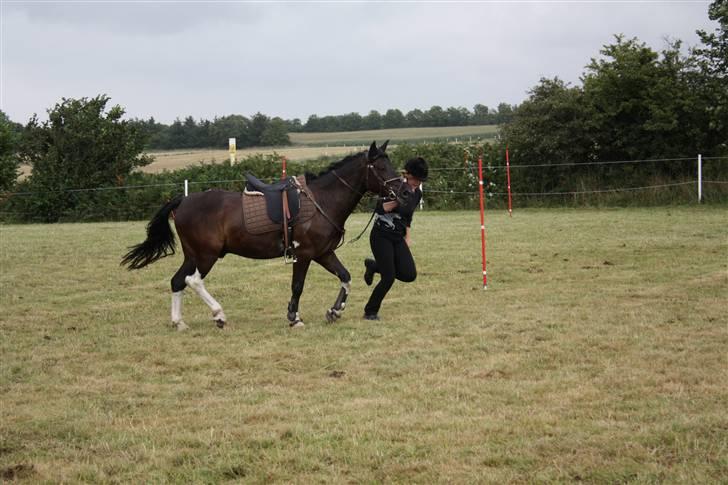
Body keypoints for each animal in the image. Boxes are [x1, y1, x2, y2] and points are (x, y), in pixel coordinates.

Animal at [119, 140, 410, 328]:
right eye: (381, 168)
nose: (406, 192)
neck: (322, 201)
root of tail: (182, 201)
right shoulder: (304, 254)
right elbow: (297, 286)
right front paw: (294, 318)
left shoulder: (324, 253)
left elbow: (346, 277)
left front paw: (334, 311)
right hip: (206, 255)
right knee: (193, 281)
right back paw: (219, 315)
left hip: (192, 255)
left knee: (177, 281)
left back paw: (178, 322)